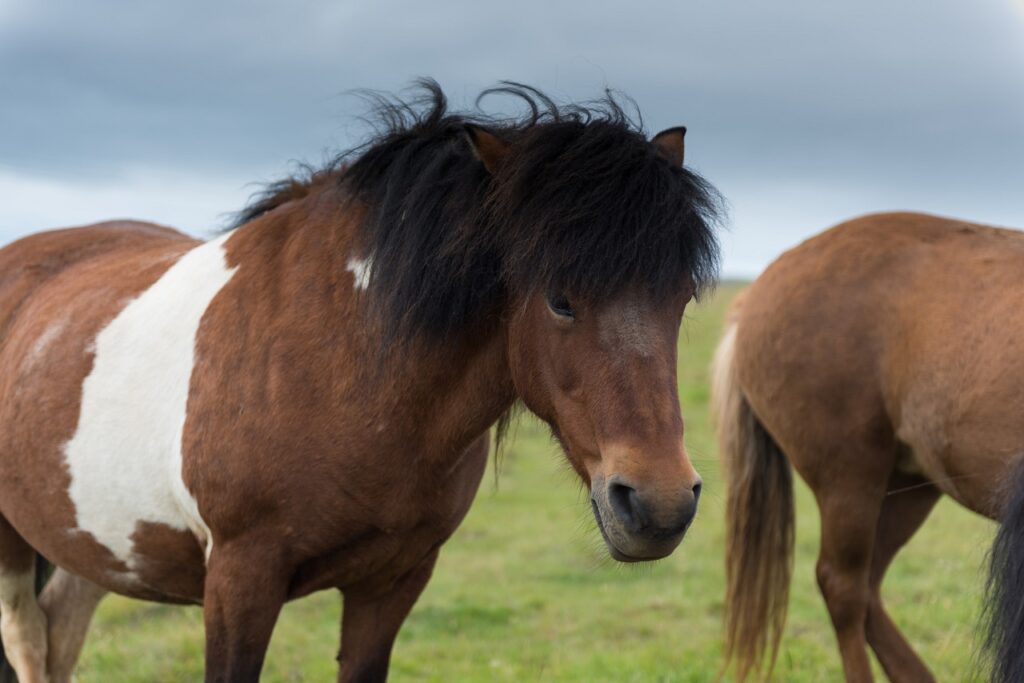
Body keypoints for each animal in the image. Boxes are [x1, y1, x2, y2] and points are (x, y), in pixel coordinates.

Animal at [0, 80, 721, 682]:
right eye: (560, 299)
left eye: (682, 296)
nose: (659, 505)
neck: (348, 367)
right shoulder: (239, 576)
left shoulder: (393, 580)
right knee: (30, 641)